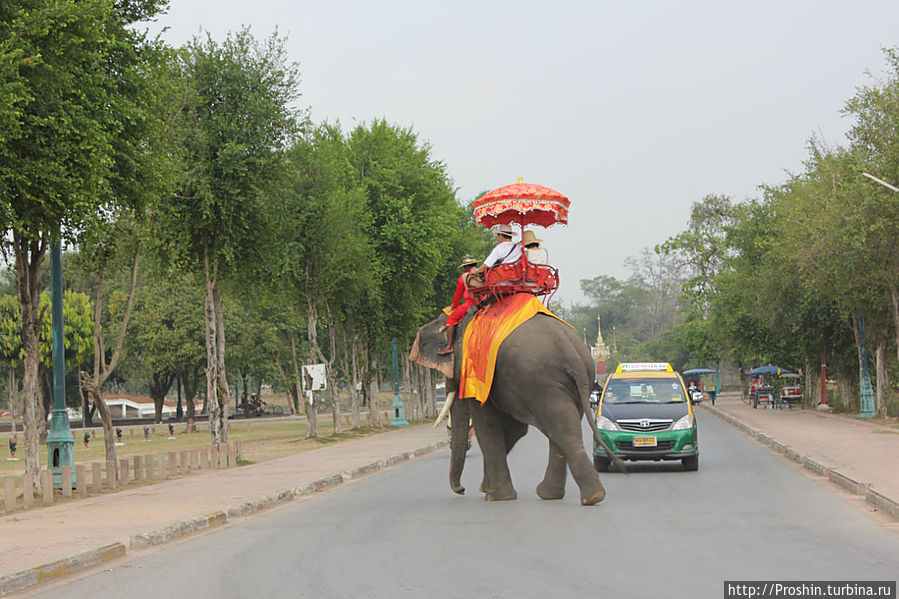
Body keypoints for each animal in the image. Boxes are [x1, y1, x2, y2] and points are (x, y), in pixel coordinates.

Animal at [410, 304, 616, 506]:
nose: (461, 490)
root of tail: (570, 351)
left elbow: (488, 425)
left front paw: (495, 496)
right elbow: (514, 430)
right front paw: (486, 489)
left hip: (541, 383)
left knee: (560, 428)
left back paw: (587, 496)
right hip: (576, 381)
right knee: (563, 426)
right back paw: (561, 495)